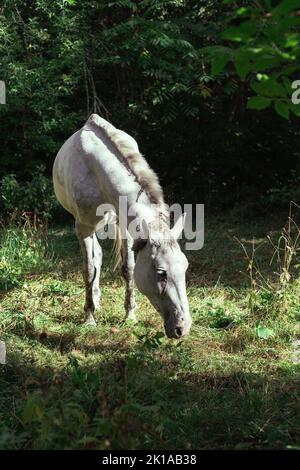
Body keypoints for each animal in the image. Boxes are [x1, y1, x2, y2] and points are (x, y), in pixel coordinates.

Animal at [52, 114, 191, 338]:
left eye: (185, 267)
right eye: (161, 273)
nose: (182, 328)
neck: (97, 171)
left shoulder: (127, 227)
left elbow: (129, 268)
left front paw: (130, 314)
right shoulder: (83, 227)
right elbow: (88, 270)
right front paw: (89, 318)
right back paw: (94, 302)